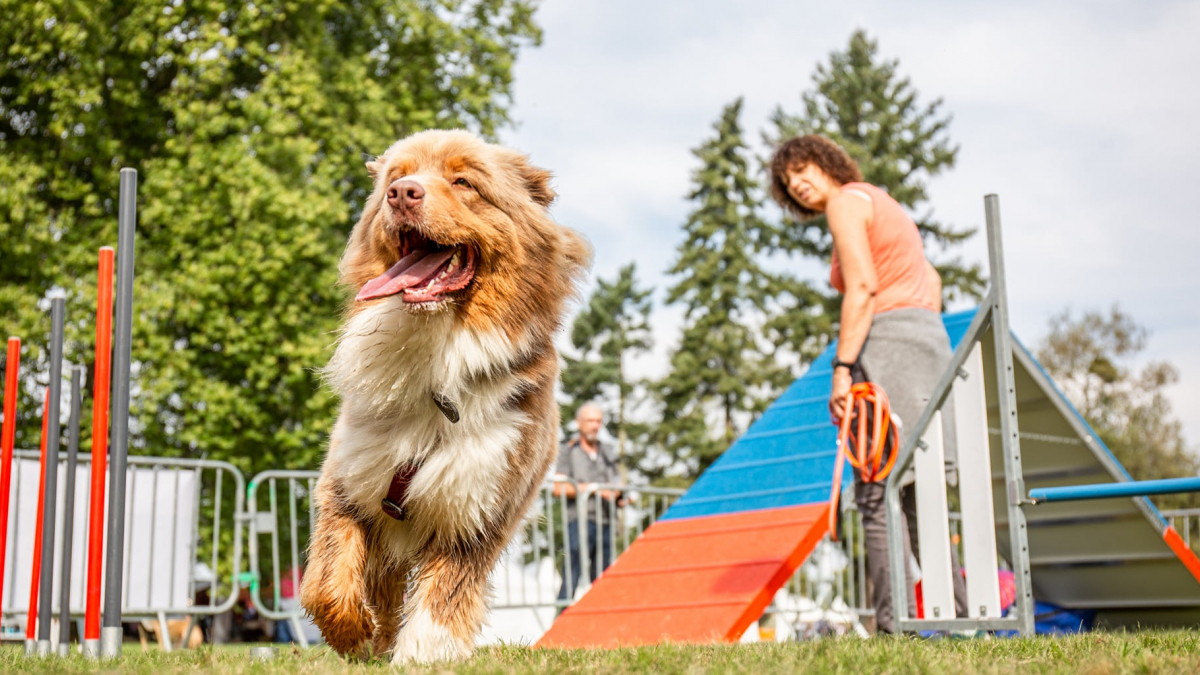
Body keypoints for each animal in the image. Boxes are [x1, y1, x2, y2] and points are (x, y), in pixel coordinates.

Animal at [300, 128, 590, 658]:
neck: (437, 353)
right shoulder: (348, 480)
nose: (402, 194)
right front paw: (355, 634)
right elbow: (327, 579)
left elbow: (444, 598)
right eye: (396, 178)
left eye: (463, 182)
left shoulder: (478, 510)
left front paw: (419, 656)